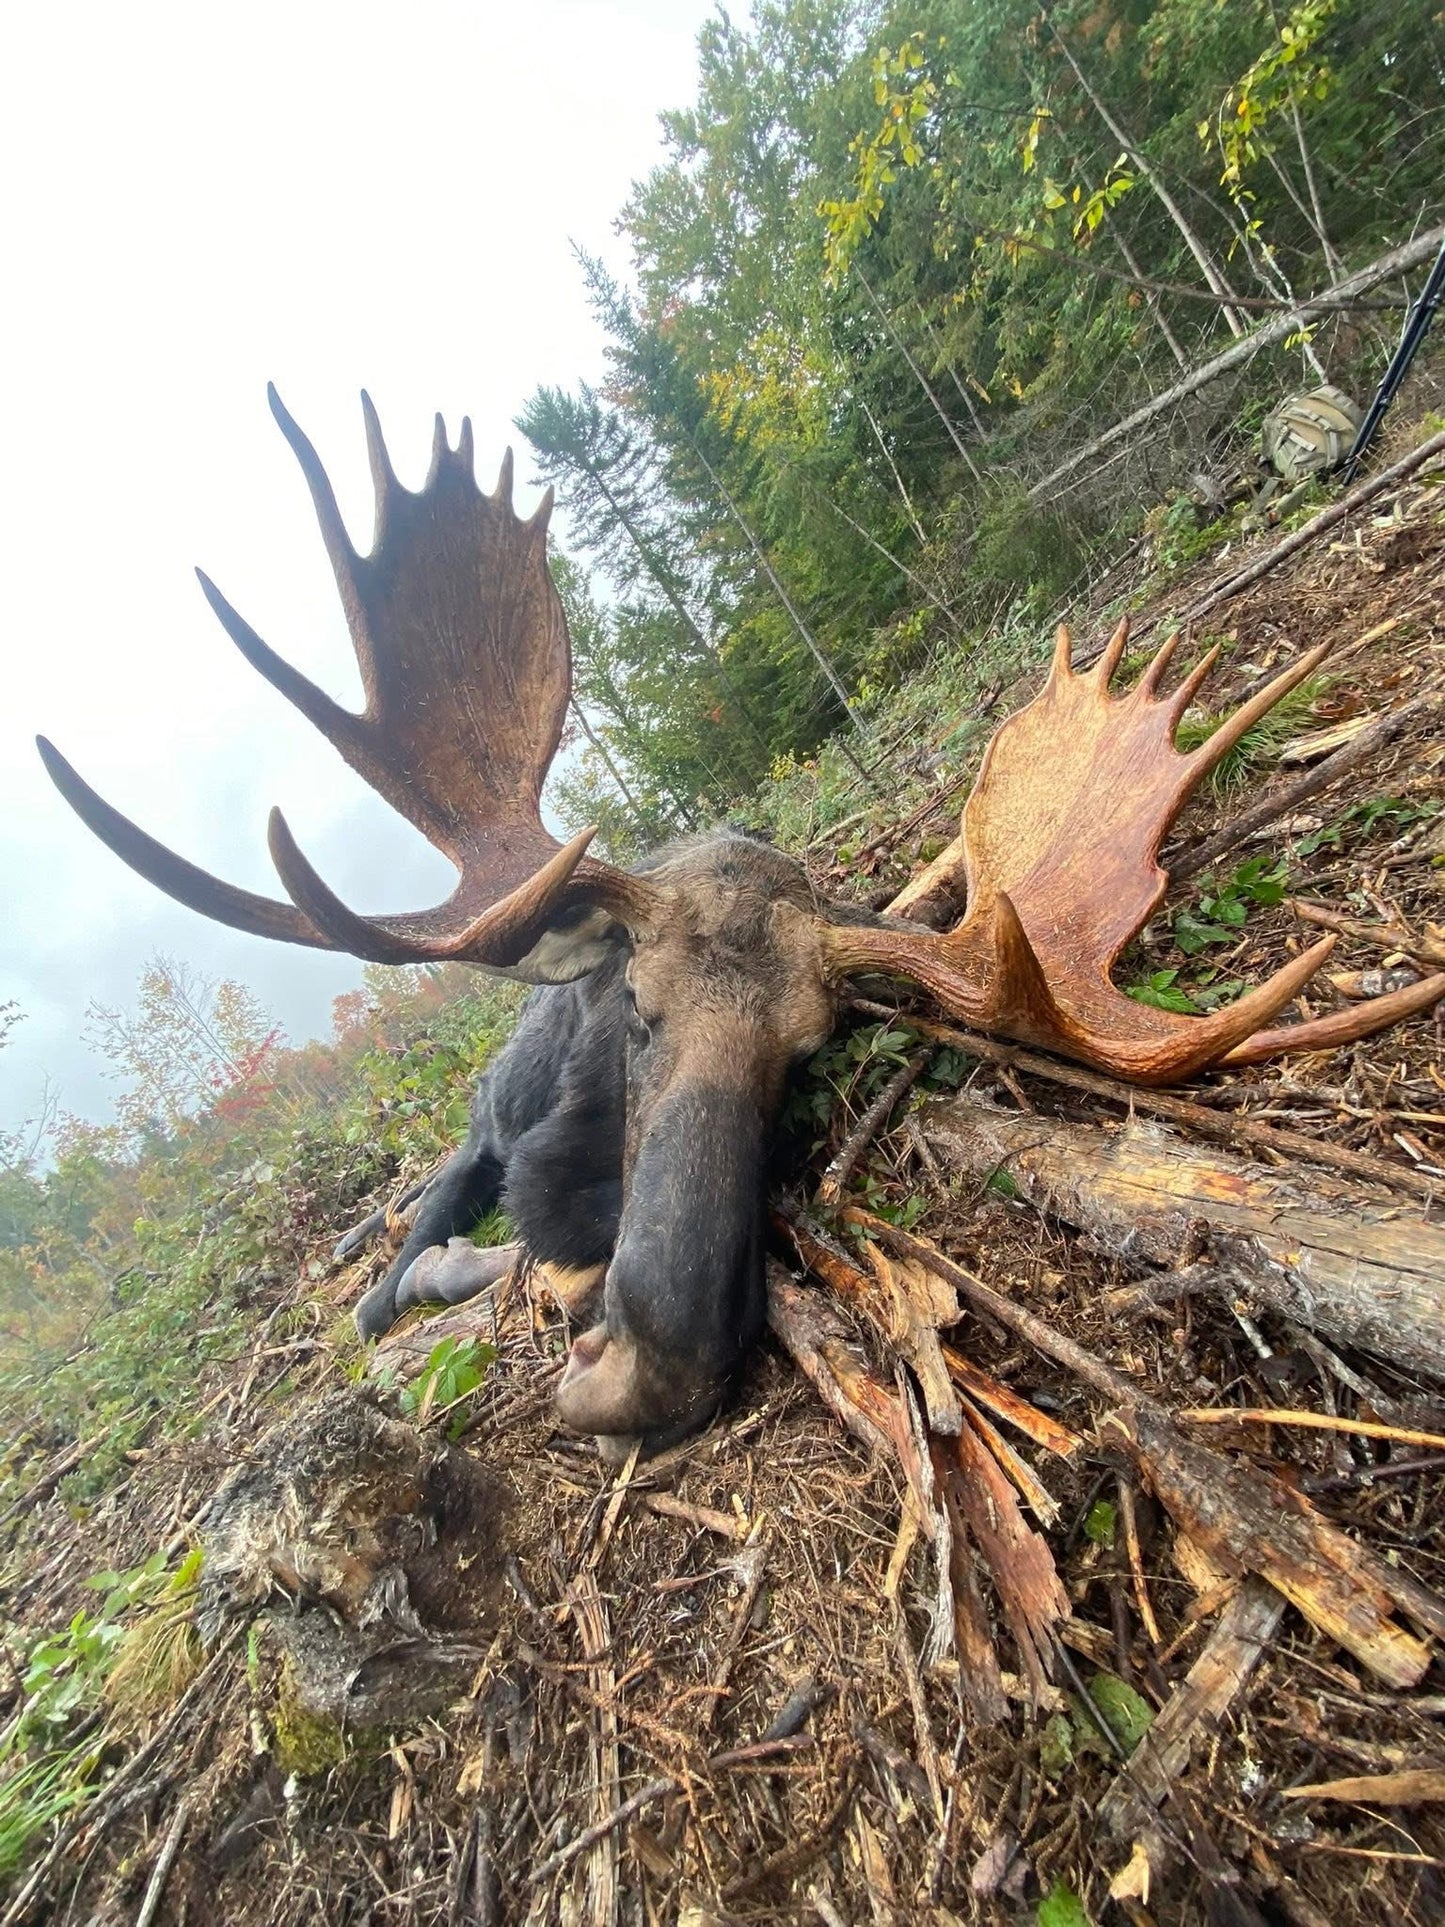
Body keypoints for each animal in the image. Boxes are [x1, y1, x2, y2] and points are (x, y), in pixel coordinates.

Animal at [39, 392, 1445, 1456]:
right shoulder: (507, 1159)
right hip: (471, 1122)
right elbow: (406, 1290)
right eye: (635, 1004)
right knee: (407, 1219)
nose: (652, 1367)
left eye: (807, 1051)